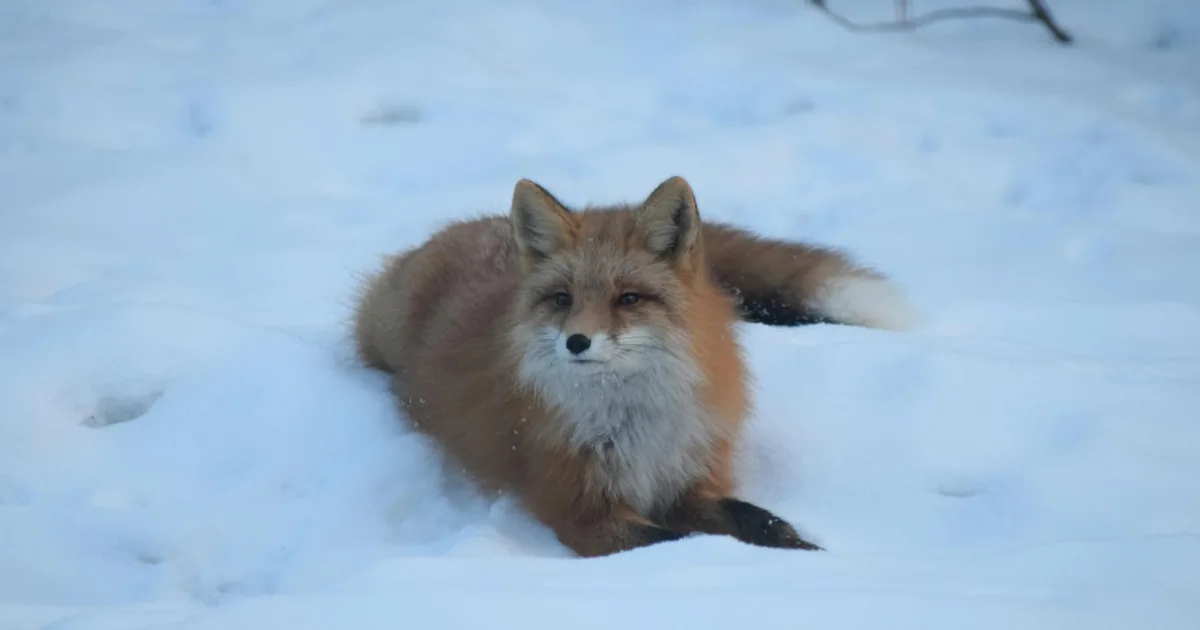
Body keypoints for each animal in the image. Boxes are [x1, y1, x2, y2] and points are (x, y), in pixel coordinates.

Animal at [352, 176, 915, 557]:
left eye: (628, 298)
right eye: (563, 299)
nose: (577, 342)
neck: (637, 428)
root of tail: (462, 228)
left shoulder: (689, 480)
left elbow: (759, 521)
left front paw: (809, 556)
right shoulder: (583, 512)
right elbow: (677, 540)